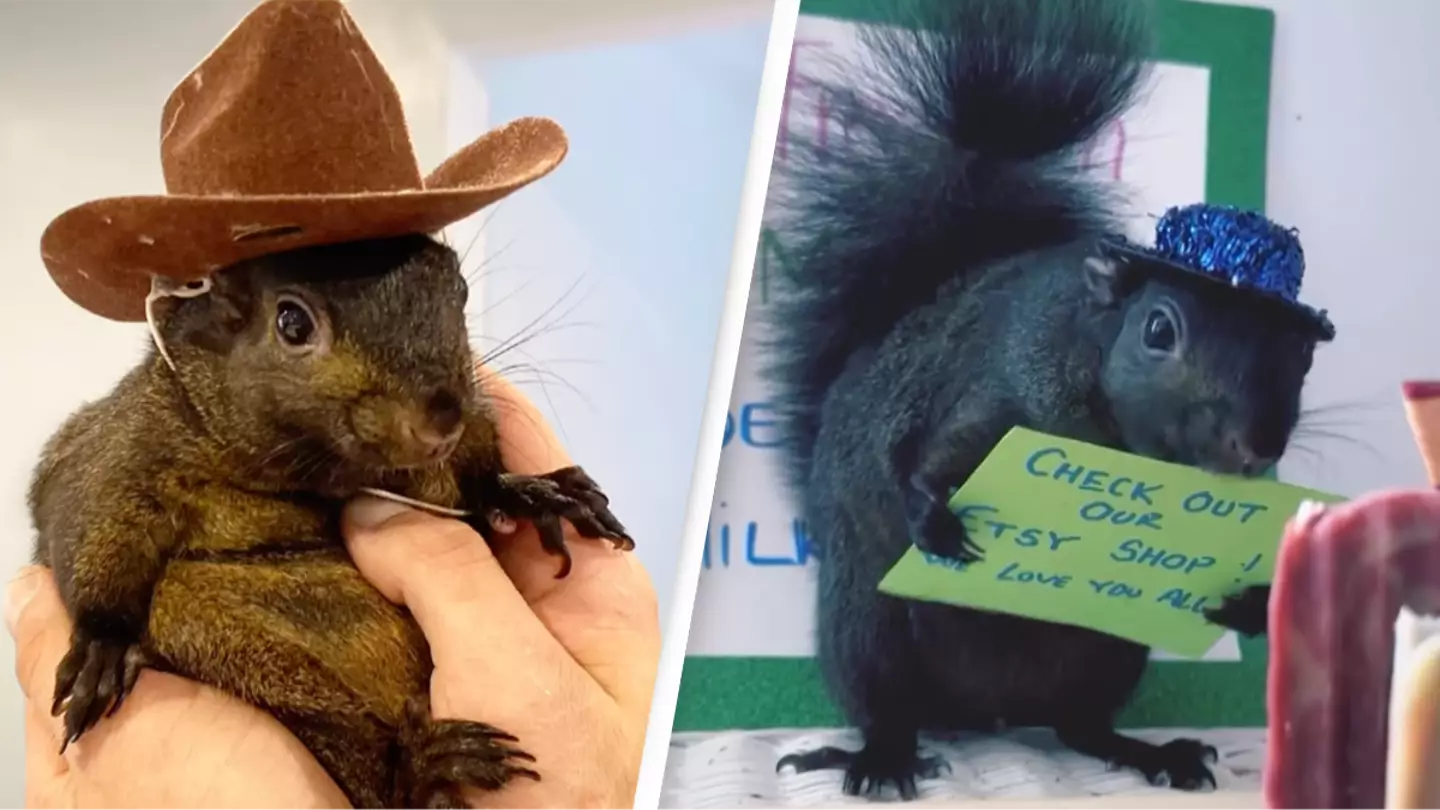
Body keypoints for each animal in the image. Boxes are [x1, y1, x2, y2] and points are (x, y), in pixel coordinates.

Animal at [28, 233, 634, 810]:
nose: (442, 418)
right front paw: (102, 645)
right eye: (292, 322)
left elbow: (478, 482)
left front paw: (533, 493)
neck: (316, 475)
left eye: (459, 290)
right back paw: (423, 771)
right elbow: (90, 517)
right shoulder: (121, 447)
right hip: (228, 644)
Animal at [763, 0, 1325, 799]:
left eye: (1303, 355)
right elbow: (928, 458)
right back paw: (878, 758)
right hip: (866, 627)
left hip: (1108, 653)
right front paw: (934, 521)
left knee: (1079, 727)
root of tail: (986, 713)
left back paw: (1154, 753)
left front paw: (1249, 599)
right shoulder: (999, 395)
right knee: (887, 708)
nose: (1257, 446)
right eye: (1159, 329)